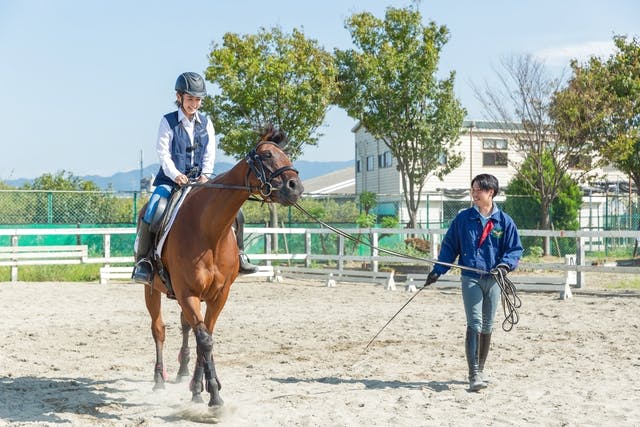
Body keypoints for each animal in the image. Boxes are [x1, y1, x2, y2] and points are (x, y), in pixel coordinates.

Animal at [144, 125, 304, 406]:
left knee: (186, 327)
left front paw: (201, 387)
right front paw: (214, 397)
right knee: (159, 330)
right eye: (266, 156)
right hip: (151, 290)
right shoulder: (188, 293)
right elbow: (205, 340)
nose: (295, 187)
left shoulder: (218, 295)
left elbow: (206, 337)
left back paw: (183, 371)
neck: (209, 231)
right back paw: (159, 379)